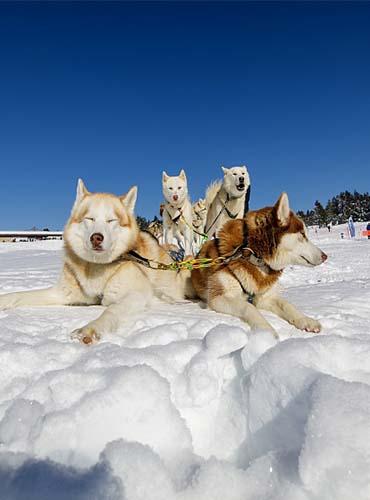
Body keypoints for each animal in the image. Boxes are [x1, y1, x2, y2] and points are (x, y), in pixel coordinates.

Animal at [0, 182, 191, 346]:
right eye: (89, 218)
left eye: (111, 220)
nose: (96, 237)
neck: (96, 267)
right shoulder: (61, 293)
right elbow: (17, 295)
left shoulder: (134, 296)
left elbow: (110, 311)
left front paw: (90, 329)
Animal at [192, 193, 328, 338]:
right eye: (302, 234)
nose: (325, 256)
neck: (252, 254)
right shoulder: (219, 298)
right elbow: (248, 307)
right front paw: (266, 331)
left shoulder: (264, 297)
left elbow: (286, 304)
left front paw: (305, 319)